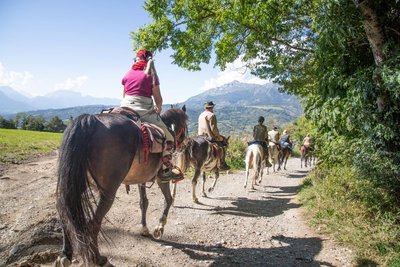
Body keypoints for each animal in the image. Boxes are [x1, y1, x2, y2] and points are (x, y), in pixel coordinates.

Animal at [53, 107, 189, 267]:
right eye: (185, 125)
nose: (183, 144)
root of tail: (91, 121)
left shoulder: (141, 179)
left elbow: (144, 202)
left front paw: (144, 228)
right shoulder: (162, 179)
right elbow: (168, 199)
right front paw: (159, 228)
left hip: (77, 185)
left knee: (64, 211)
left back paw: (65, 256)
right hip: (108, 192)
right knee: (93, 224)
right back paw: (99, 259)